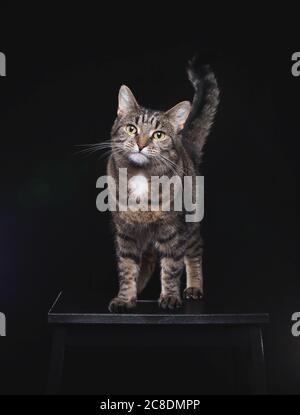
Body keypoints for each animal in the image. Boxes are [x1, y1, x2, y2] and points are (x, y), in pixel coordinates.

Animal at [106, 58, 219, 312]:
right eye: (131, 129)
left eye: (158, 134)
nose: (141, 144)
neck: (140, 177)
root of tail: (185, 144)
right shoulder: (126, 232)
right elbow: (127, 267)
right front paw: (125, 298)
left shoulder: (173, 230)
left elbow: (171, 268)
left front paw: (169, 297)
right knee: (147, 259)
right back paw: (138, 288)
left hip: (191, 224)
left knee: (195, 250)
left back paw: (194, 287)